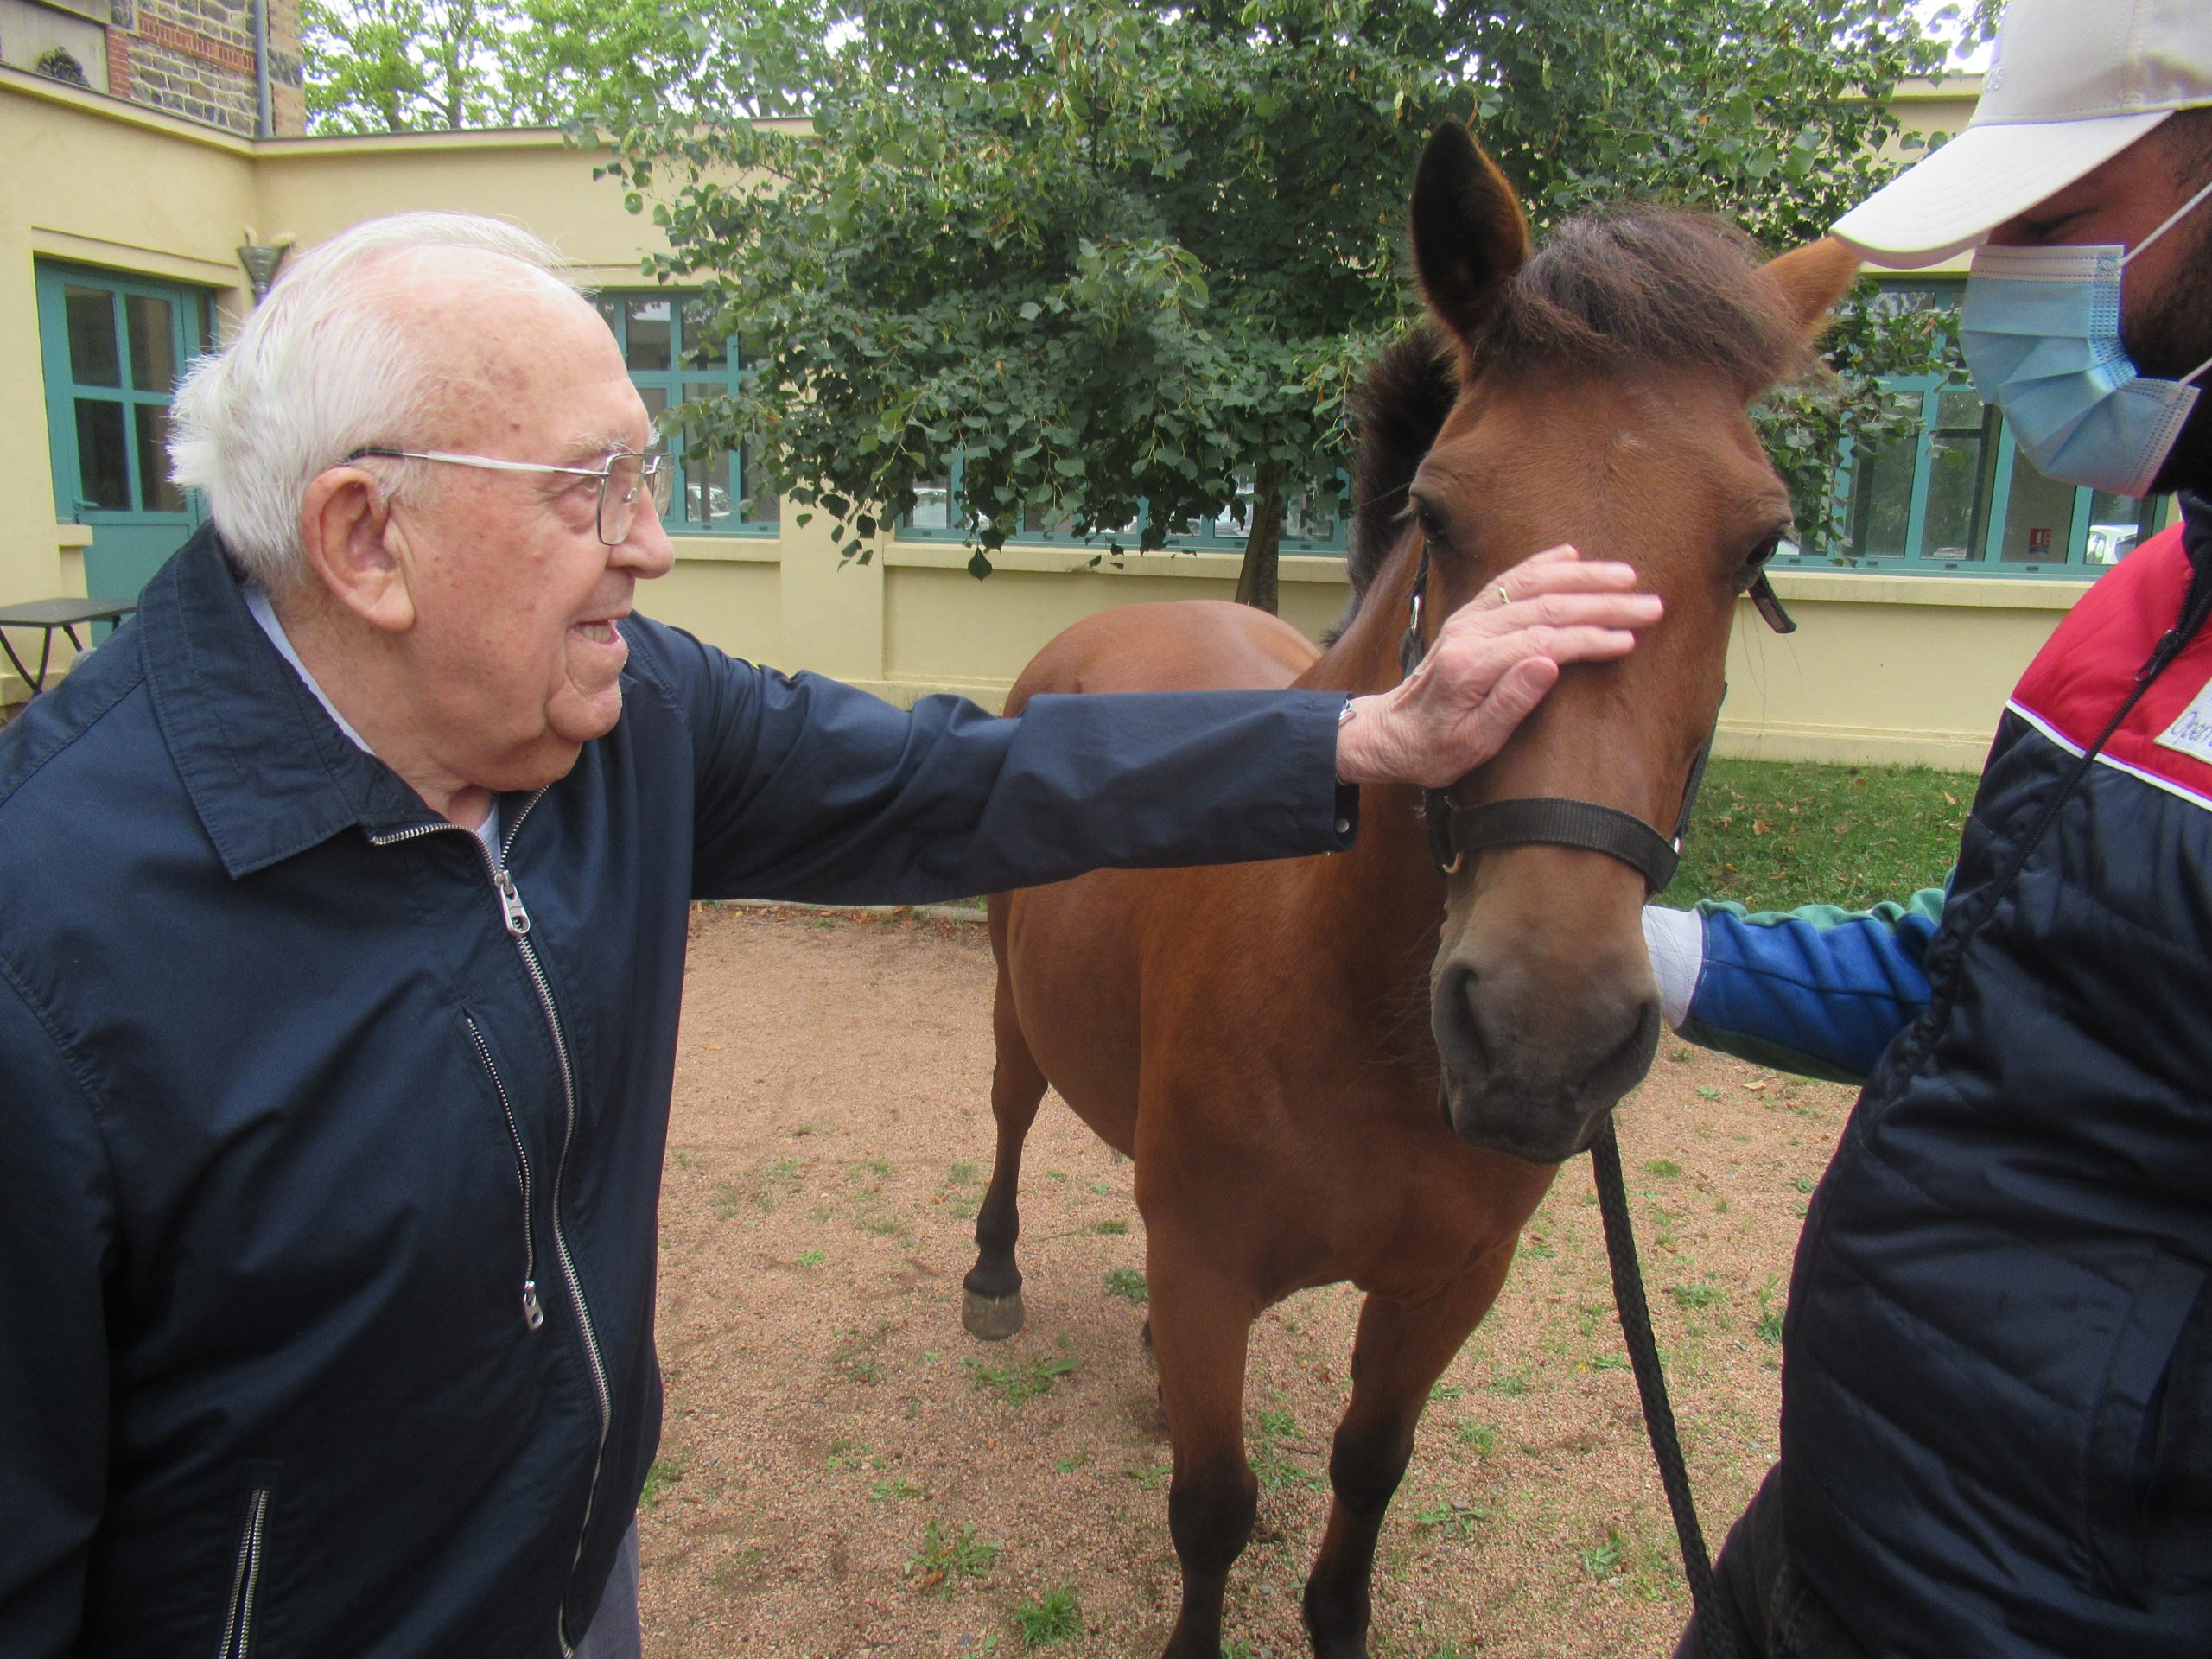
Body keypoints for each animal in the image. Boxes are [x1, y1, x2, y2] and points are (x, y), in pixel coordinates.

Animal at [963, 122, 1859, 1659]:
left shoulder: (1446, 1286)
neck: (1354, 1008)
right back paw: (994, 1273)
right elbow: (1214, 1508)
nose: (1543, 1032)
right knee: (1015, 1114)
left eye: (1758, 546)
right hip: (1019, 1017)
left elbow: (1367, 1471)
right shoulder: (1207, 1269)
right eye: (1443, 514)